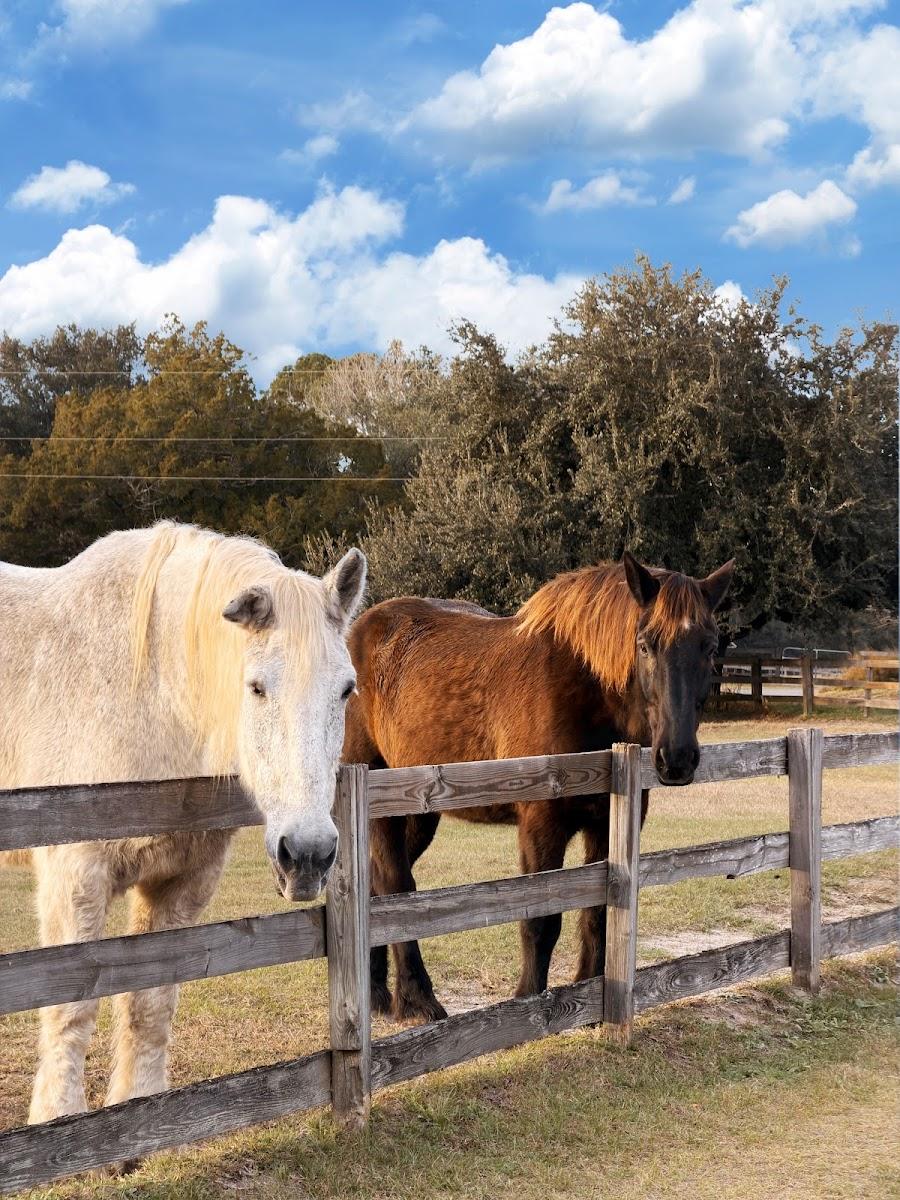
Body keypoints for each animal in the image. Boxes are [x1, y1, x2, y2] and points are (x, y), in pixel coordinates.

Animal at [0, 521, 366, 1124]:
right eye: (256, 687)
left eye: (346, 689)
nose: (308, 855)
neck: (146, 691)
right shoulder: (75, 879)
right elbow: (71, 1009)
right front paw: (59, 1119)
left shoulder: (178, 885)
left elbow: (149, 1005)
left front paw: (139, 1115)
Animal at [343, 551, 733, 1022]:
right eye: (646, 645)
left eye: (709, 646)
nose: (676, 759)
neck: (583, 691)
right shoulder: (541, 824)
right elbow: (541, 920)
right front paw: (528, 1002)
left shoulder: (607, 823)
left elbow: (597, 911)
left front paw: (590, 995)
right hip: (382, 806)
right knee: (395, 886)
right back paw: (418, 1001)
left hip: (418, 816)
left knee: (380, 890)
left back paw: (379, 994)